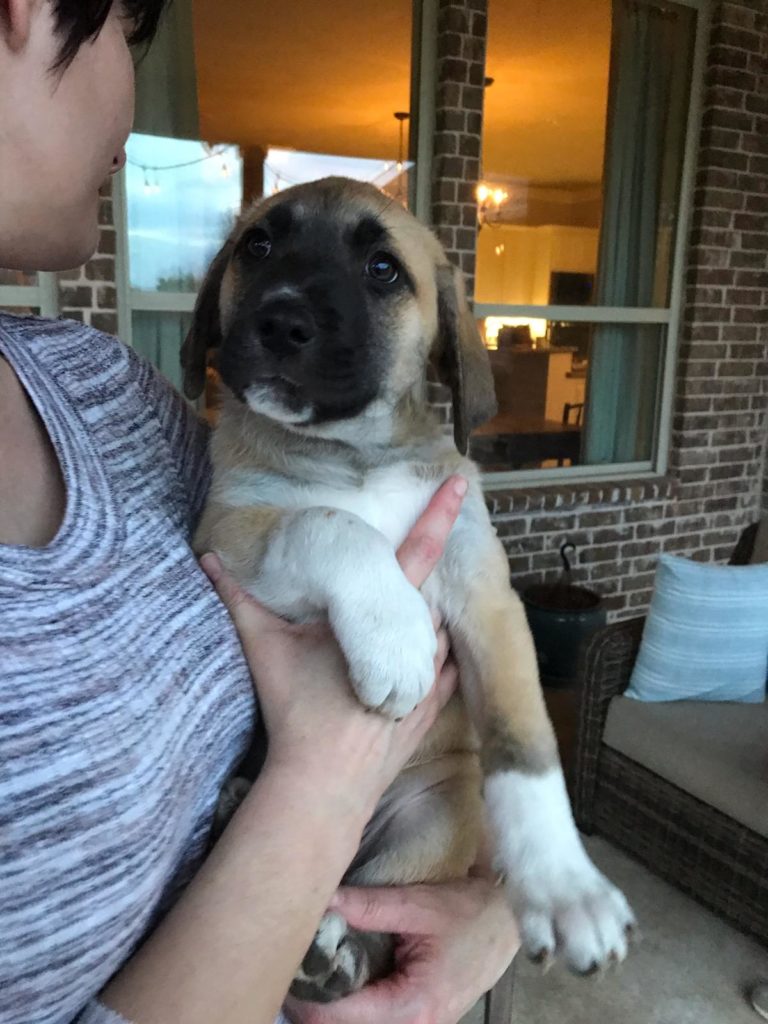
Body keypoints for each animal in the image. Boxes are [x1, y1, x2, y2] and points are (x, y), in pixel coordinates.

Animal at [182, 176, 638, 999]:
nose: (282, 320)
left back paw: (335, 952)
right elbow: (330, 523)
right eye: (257, 246)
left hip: (437, 814)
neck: (355, 450)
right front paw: (394, 641)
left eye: (383, 270)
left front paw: (565, 887)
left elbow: (526, 745)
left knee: (369, 898)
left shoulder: (487, 596)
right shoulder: (231, 532)